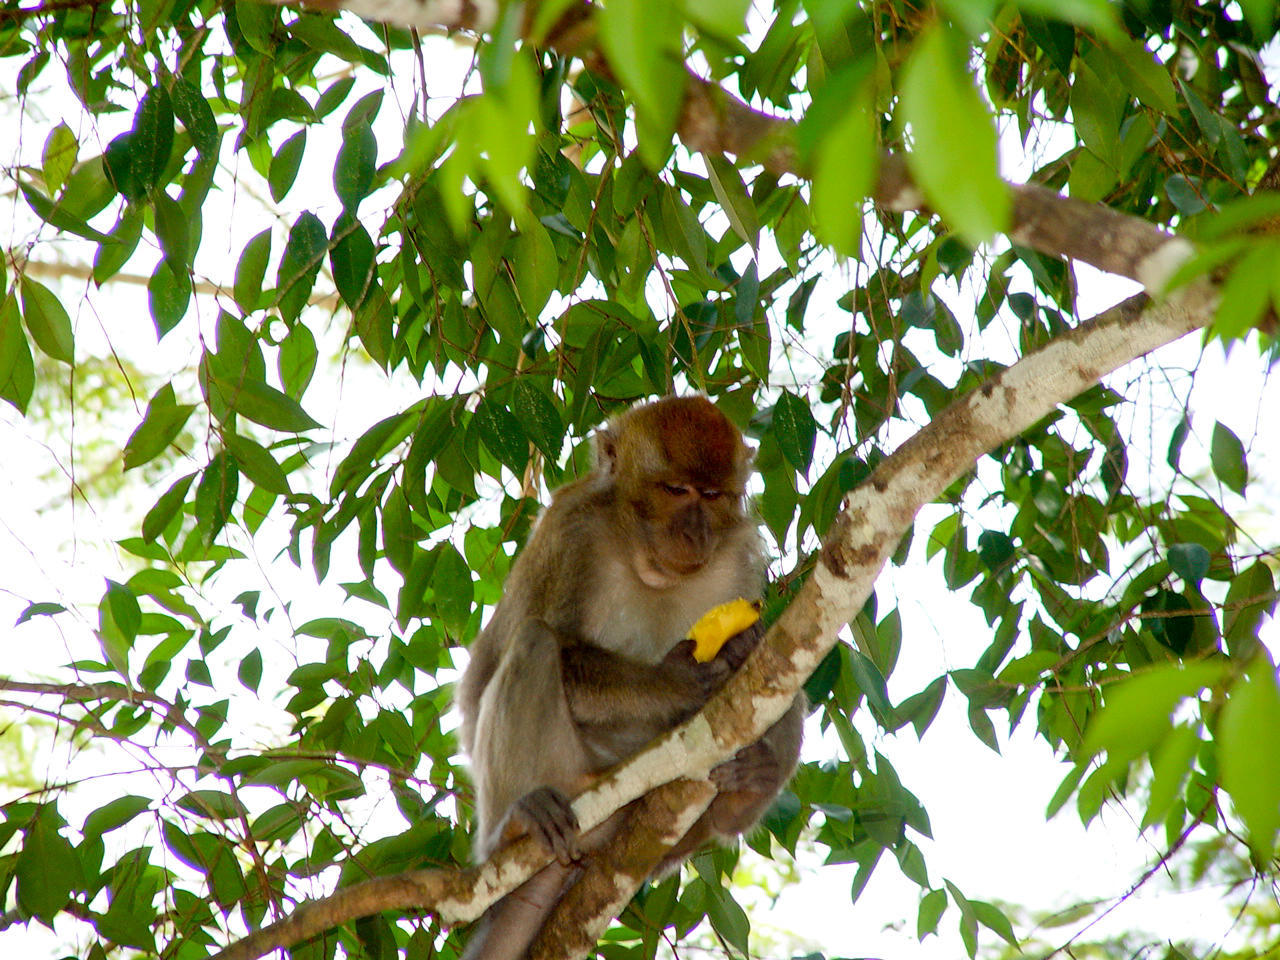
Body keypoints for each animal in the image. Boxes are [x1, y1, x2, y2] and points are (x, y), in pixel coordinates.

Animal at [455, 396, 803, 960]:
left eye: (712, 496)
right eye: (676, 490)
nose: (696, 530)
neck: (650, 564)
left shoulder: (738, 553)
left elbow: (769, 645)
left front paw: (740, 647)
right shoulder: (568, 531)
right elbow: (497, 675)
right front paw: (680, 679)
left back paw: (745, 793)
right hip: (567, 777)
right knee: (533, 641)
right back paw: (516, 824)